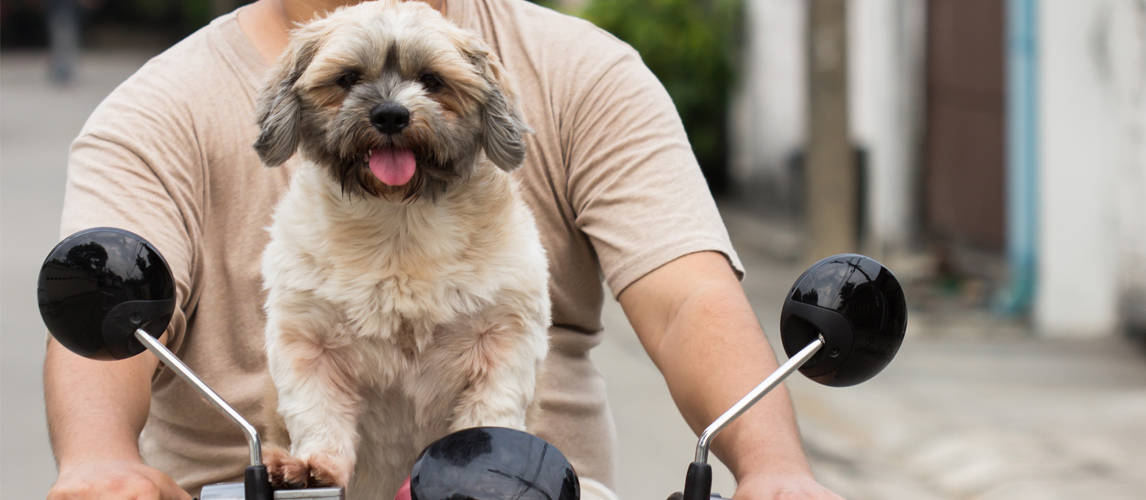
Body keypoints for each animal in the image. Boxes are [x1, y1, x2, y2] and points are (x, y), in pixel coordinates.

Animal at [252, 1, 554, 497]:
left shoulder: (504, 337)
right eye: (348, 78)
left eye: (432, 79)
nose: (390, 114)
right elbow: (319, 413)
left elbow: (489, 412)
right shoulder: (308, 340)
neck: (399, 225)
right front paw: (314, 465)